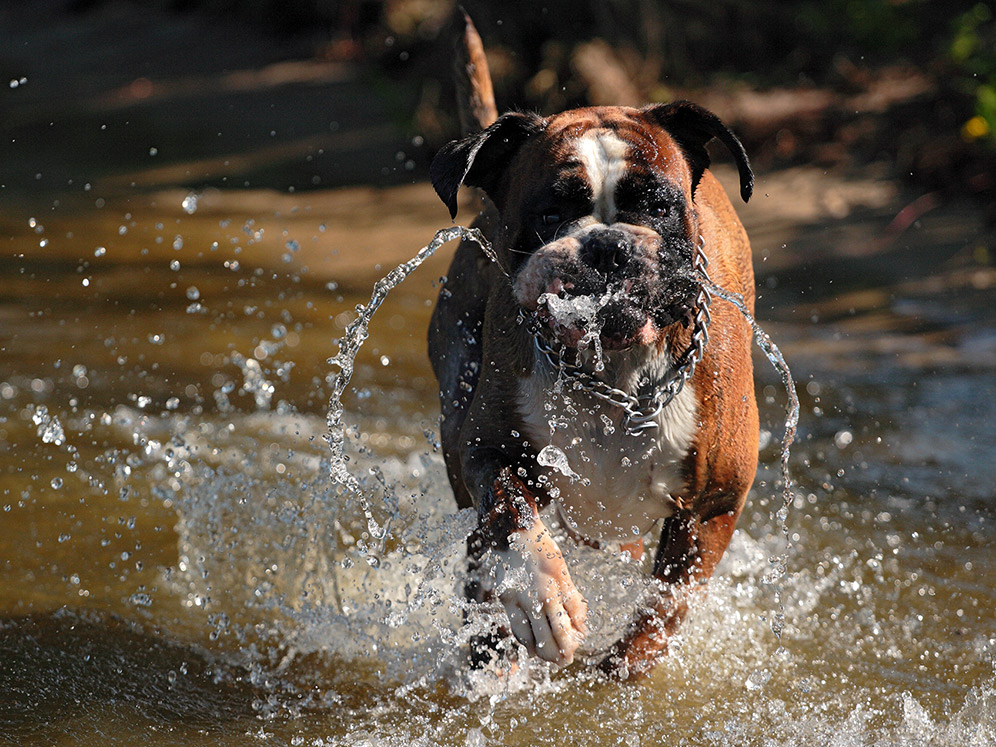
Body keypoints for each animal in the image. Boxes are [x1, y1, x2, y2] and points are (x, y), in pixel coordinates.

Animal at [424, 11, 760, 676]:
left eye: (657, 206)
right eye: (551, 215)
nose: (607, 244)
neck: (614, 374)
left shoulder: (713, 507)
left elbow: (663, 609)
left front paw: (621, 668)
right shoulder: (487, 449)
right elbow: (510, 516)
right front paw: (542, 598)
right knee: (480, 545)